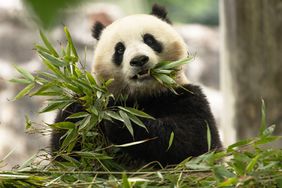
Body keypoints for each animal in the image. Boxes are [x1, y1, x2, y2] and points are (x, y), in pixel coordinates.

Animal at [51, 4, 223, 167]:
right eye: (120, 49)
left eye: (149, 40)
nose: (139, 60)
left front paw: (121, 121)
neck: (145, 95)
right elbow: (66, 149)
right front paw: (83, 106)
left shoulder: (186, 96)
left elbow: (194, 140)